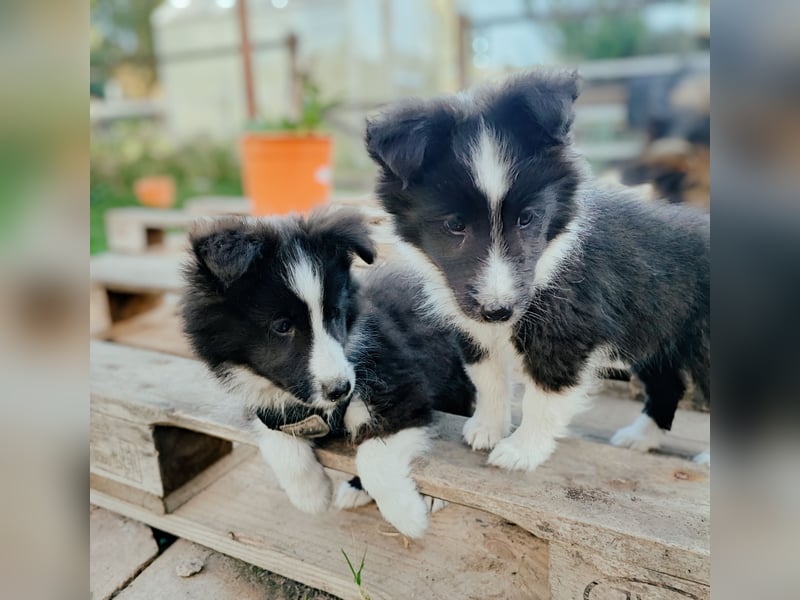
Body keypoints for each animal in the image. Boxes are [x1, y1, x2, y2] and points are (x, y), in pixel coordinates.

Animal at [181, 209, 476, 536]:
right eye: (282, 326)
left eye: (334, 314)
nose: (340, 390)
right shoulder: (268, 408)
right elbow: (277, 442)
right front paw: (311, 496)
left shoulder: (402, 389)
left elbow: (374, 455)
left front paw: (409, 517)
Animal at [366, 70, 708, 472]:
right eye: (454, 225)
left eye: (527, 219)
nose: (499, 311)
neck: (550, 255)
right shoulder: (472, 325)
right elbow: (488, 378)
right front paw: (487, 428)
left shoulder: (566, 330)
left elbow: (543, 395)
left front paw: (521, 450)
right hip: (657, 333)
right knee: (668, 385)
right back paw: (640, 437)